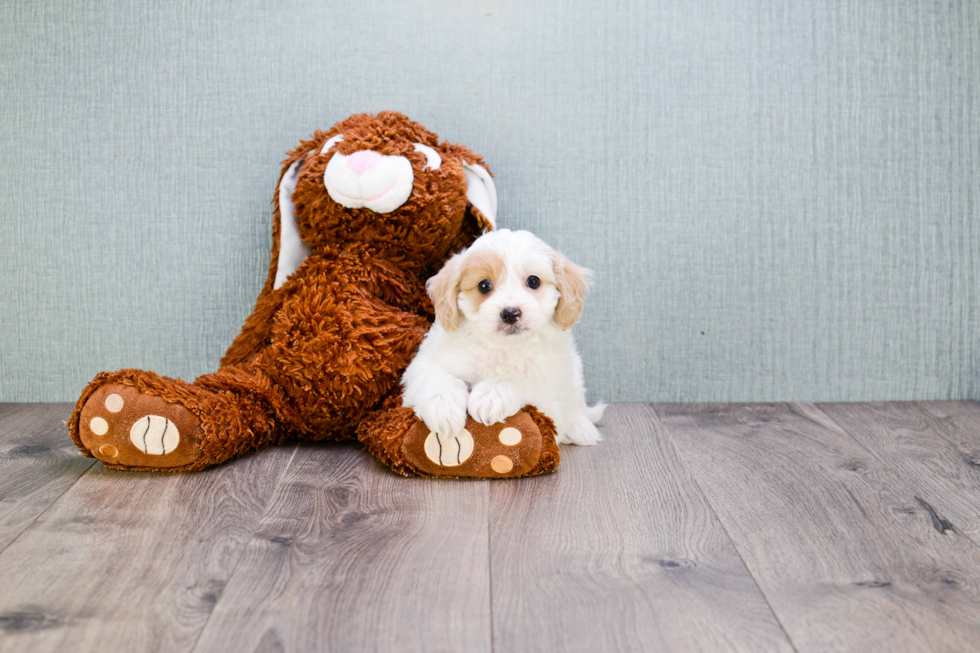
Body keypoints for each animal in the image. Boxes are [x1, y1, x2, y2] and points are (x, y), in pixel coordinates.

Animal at [400, 227, 604, 446]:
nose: (510, 313)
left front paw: (491, 395)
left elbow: (522, 377)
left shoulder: (548, 384)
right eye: (484, 286)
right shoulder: (427, 361)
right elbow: (435, 375)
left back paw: (580, 428)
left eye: (533, 281)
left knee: (576, 405)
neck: (502, 346)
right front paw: (443, 406)